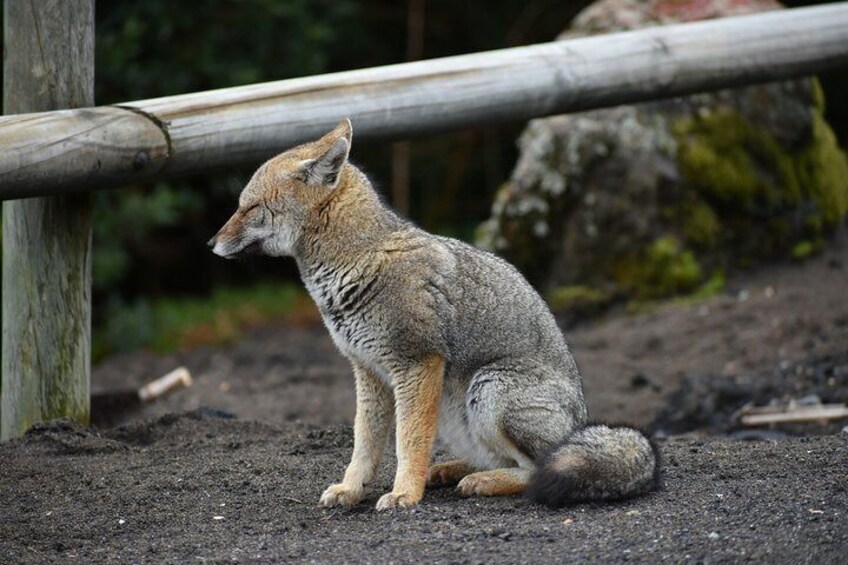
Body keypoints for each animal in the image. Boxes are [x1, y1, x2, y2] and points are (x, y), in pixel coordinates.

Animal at [209, 119, 660, 512]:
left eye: (248, 207)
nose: (210, 243)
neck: (358, 261)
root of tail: (579, 422)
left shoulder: (417, 363)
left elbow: (408, 440)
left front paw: (403, 494)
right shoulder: (369, 373)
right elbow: (364, 443)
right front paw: (352, 489)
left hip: (488, 387)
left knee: (536, 468)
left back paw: (477, 481)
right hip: (454, 410)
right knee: (498, 459)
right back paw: (448, 471)